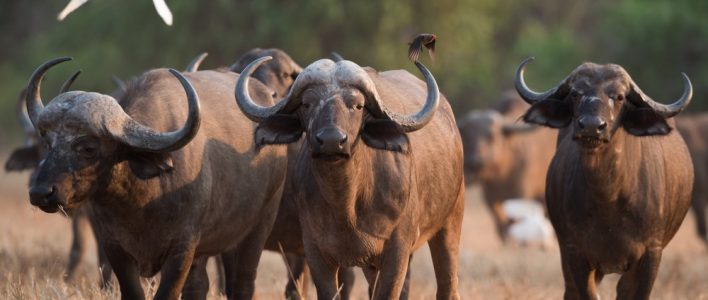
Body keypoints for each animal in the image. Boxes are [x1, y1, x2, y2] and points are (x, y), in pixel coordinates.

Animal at [24, 56, 288, 300]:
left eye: (88, 147)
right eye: (48, 143)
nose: (40, 192)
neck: (140, 202)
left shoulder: (182, 249)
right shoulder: (115, 248)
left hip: (258, 228)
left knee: (243, 283)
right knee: (199, 286)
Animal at [234, 55, 464, 298]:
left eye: (358, 105)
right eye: (307, 104)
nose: (331, 140)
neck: (347, 204)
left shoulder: (397, 252)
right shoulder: (316, 253)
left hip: (450, 223)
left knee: (447, 284)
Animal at [516, 57, 696, 298]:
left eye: (619, 96)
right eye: (575, 93)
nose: (591, 127)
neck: (608, 198)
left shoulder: (651, 253)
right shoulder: (575, 252)